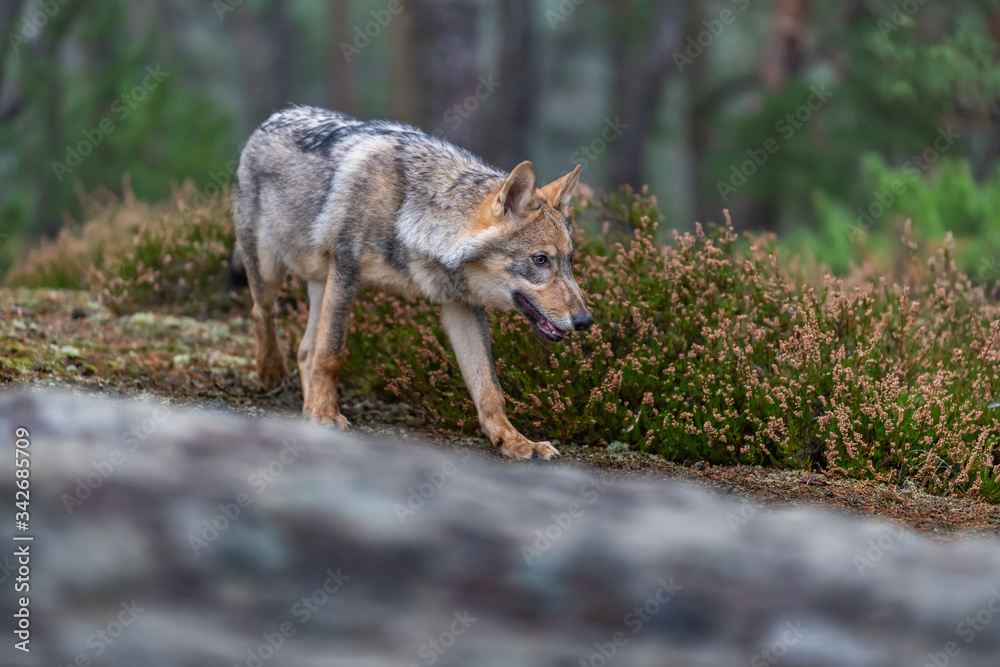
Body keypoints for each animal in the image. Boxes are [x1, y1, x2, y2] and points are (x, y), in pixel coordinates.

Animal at [232, 106, 593, 460]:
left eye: (570, 260)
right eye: (540, 260)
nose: (586, 321)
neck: (411, 215)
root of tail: (275, 117)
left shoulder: (462, 306)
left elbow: (490, 389)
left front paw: (515, 442)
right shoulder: (346, 272)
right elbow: (331, 356)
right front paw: (325, 415)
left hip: (322, 285)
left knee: (306, 349)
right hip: (271, 273)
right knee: (263, 313)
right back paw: (273, 373)